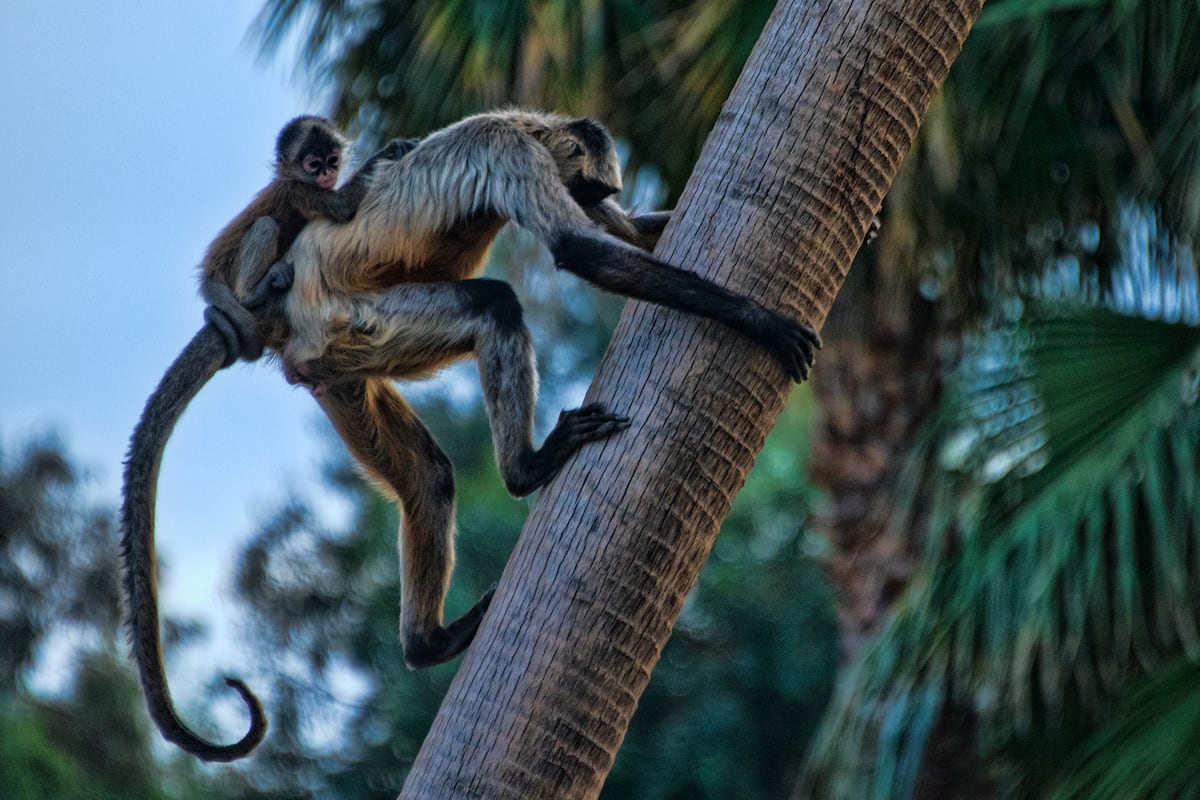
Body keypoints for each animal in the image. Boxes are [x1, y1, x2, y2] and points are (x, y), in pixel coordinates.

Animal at [120, 117, 412, 762]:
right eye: (312, 166)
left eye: (329, 159)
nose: (326, 173)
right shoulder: (299, 195)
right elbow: (341, 209)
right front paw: (390, 152)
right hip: (241, 266)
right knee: (265, 227)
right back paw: (258, 291)